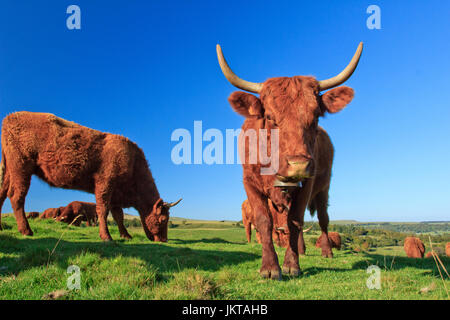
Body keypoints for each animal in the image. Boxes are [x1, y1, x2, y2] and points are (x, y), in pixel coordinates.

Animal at [0, 111, 179, 241]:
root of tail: (10, 117)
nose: (164, 240)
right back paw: (26, 230)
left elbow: (119, 216)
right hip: (21, 169)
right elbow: (103, 211)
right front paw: (106, 237)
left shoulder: (115, 196)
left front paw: (126, 235)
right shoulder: (105, 184)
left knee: (2, 194)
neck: (133, 162)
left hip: (9, 171)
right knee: (16, 196)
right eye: (163, 220)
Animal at [217, 42, 362, 278]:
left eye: (316, 116)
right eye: (270, 117)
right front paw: (269, 267)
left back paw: (326, 251)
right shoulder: (250, 183)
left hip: (324, 189)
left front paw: (292, 264)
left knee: (323, 219)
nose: (298, 165)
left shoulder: (308, 184)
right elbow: (264, 221)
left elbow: (295, 221)